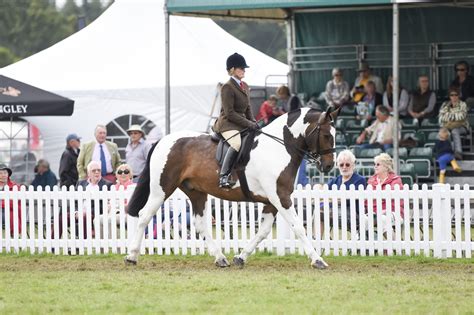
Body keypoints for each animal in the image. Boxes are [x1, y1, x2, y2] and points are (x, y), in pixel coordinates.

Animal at [124, 107, 338, 270]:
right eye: (327, 135)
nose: (328, 166)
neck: (279, 147)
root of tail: (162, 141)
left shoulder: (272, 201)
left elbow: (263, 231)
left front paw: (240, 257)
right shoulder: (280, 197)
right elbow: (298, 227)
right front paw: (318, 260)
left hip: (196, 192)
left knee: (200, 224)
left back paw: (221, 258)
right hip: (162, 189)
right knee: (144, 215)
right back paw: (132, 256)